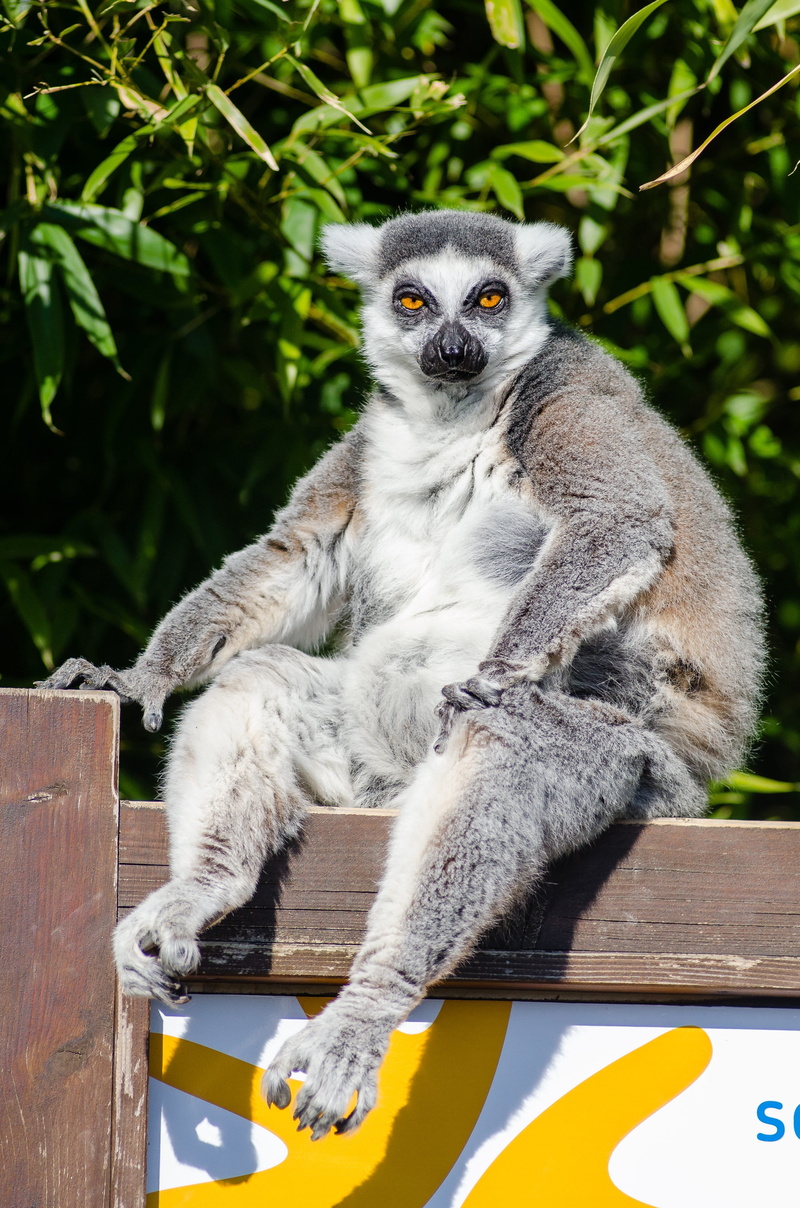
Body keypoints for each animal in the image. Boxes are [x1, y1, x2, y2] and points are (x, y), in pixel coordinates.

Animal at [42, 209, 765, 1142]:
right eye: (413, 301)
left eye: (488, 299)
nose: (453, 349)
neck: (451, 417)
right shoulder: (368, 446)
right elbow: (295, 559)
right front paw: (137, 679)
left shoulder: (569, 397)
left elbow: (615, 522)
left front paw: (496, 669)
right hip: (359, 756)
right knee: (261, 681)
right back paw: (203, 889)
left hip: (638, 762)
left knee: (502, 743)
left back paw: (368, 1003)